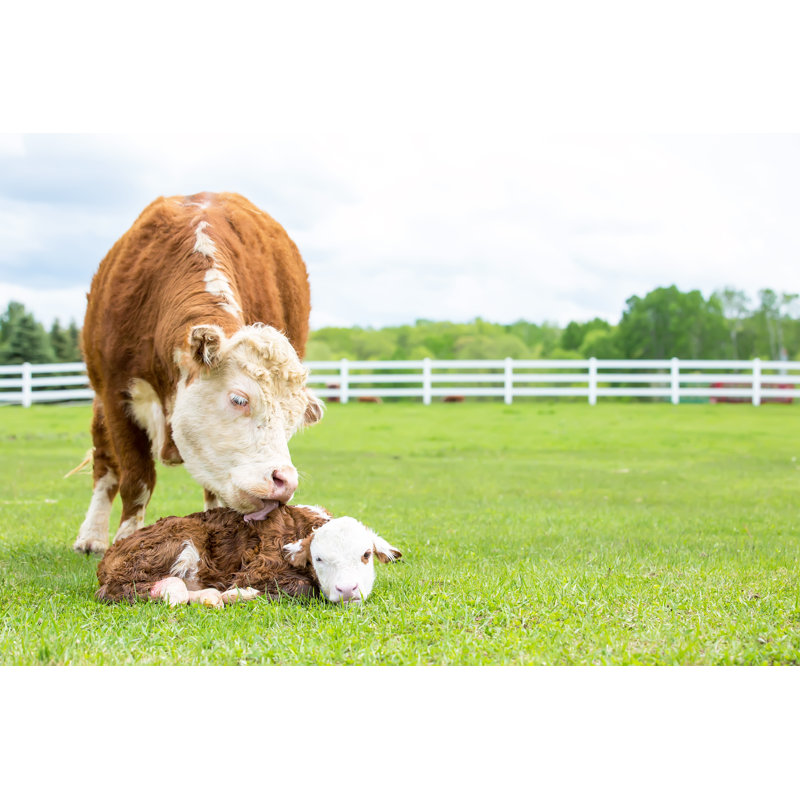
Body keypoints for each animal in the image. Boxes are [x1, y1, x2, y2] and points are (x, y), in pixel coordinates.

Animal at [73, 192, 323, 555]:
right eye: (238, 399)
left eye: (292, 421)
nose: (284, 482)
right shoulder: (116, 395)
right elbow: (136, 478)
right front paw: (127, 537)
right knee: (106, 463)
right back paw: (91, 535)